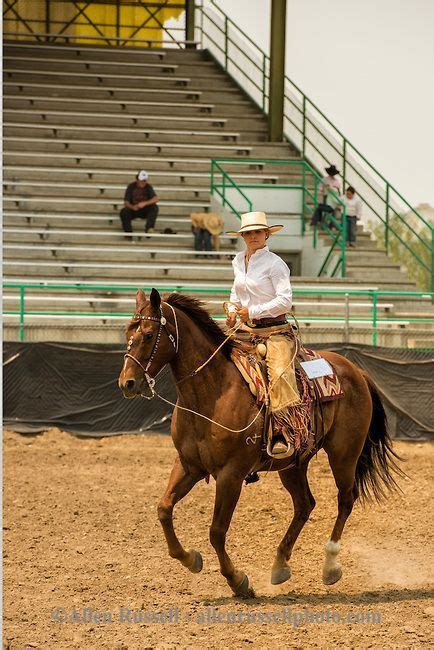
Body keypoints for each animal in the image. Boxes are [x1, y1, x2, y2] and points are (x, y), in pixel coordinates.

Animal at [118, 288, 404, 596]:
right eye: (128, 332)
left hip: (344, 453)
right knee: (305, 504)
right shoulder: (188, 465)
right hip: (294, 463)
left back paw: (330, 566)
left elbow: (216, 532)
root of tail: (356, 371)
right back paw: (280, 565)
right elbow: (163, 508)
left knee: (345, 499)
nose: (127, 383)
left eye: (148, 334)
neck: (214, 392)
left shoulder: (230, 474)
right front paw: (190, 559)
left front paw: (237, 580)